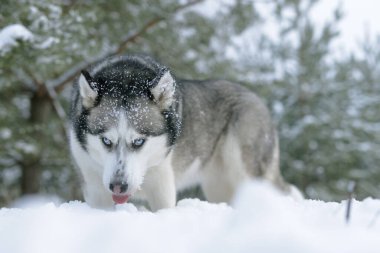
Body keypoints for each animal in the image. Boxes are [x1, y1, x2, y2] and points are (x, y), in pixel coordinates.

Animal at [69, 55, 294, 211]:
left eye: (139, 141)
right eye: (106, 140)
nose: (118, 186)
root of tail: (256, 98)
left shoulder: (162, 184)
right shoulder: (95, 186)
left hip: (244, 168)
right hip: (218, 184)